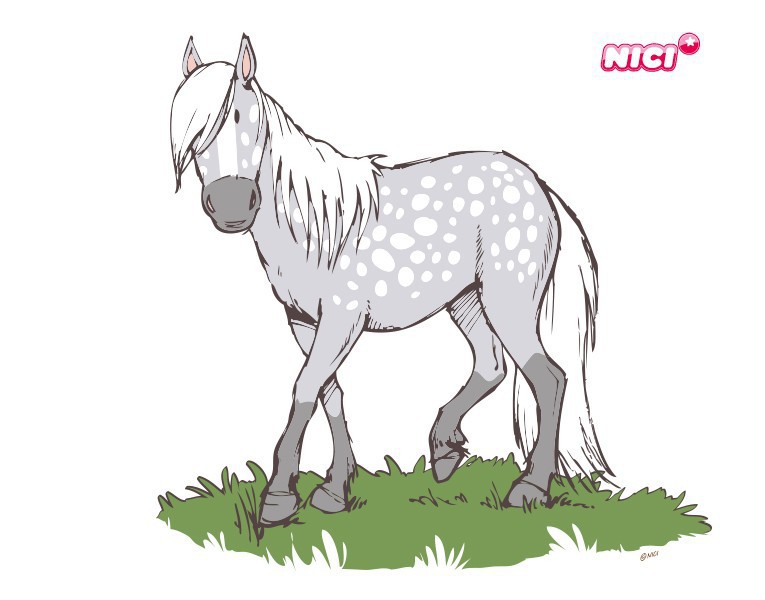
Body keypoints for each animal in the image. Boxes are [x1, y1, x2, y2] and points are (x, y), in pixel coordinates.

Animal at [169, 34, 613, 526]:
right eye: (192, 131)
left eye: (242, 117)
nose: (231, 205)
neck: (313, 222)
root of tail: (537, 184)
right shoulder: (303, 322)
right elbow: (329, 392)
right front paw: (335, 491)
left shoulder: (341, 319)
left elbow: (305, 388)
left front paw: (278, 499)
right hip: (466, 301)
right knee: (491, 364)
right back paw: (444, 450)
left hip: (507, 300)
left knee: (548, 377)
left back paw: (529, 488)